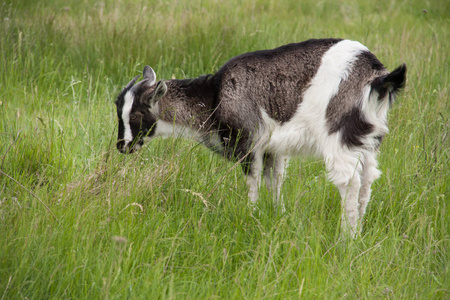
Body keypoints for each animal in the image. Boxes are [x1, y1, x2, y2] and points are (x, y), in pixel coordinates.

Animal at [114, 38, 406, 237]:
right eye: (118, 109)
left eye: (136, 115)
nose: (122, 146)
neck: (214, 96)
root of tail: (376, 76)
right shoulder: (272, 149)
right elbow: (274, 181)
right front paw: (279, 215)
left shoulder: (247, 140)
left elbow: (252, 180)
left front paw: (251, 214)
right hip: (368, 135)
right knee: (367, 179)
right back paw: (360, 229)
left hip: (339, 133)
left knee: (349, 181)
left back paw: (348, 236)